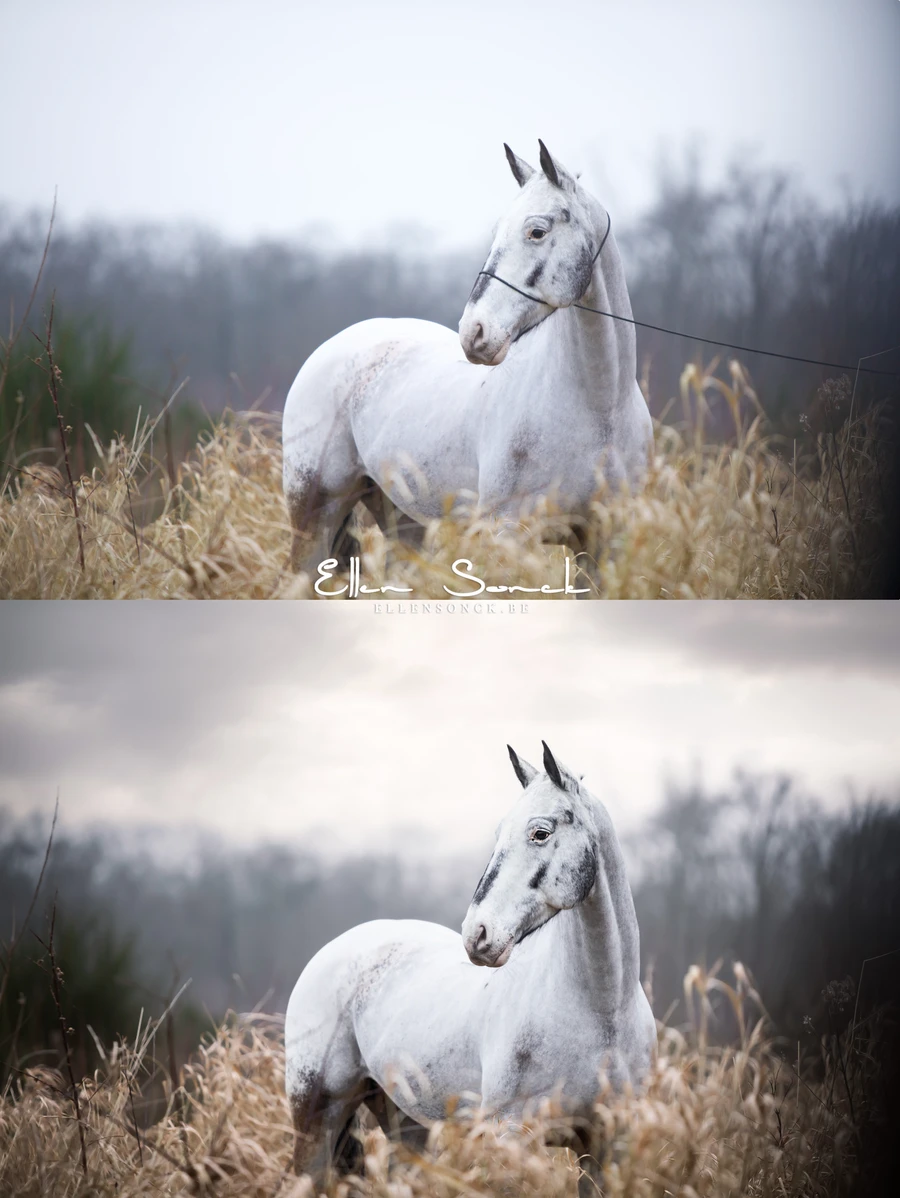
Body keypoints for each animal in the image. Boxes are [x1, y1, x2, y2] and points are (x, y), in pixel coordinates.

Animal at [281, 140, 647, 570]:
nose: (474, 333)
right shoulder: (509, 535)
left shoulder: (603, 543)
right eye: (495, 231)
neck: (599, 406)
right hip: (313, 515)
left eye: (537, 231)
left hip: (402, 523)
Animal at [285, 737, 656, 1188]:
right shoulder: (512, 1137)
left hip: (406, 1126)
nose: (477, 935)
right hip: (316, 1116)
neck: (602, 1012)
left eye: (540, 832)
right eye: (499, 832)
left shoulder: (607, 1146)